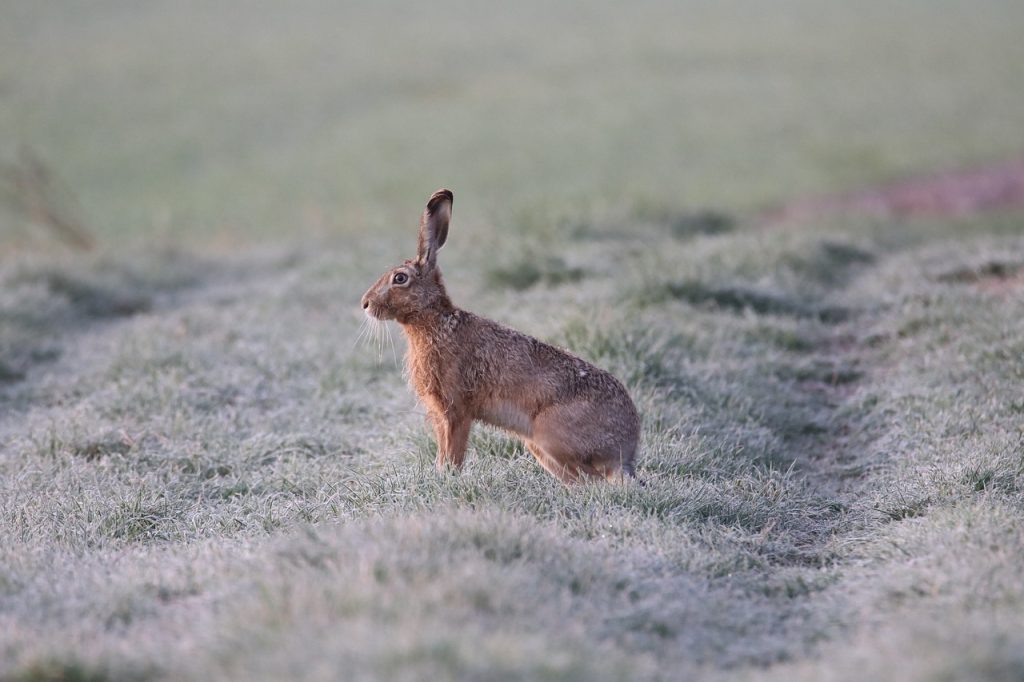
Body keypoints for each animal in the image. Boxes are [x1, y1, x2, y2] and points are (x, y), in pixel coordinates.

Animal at [361, 188, 640, 484]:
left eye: (400, 278)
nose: (365, 304)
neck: (433, 322)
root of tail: (626, 449)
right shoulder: (441, 414)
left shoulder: (456, 410)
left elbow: (452, 453)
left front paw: (448, 478)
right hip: (539, 447)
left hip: (550, 436)